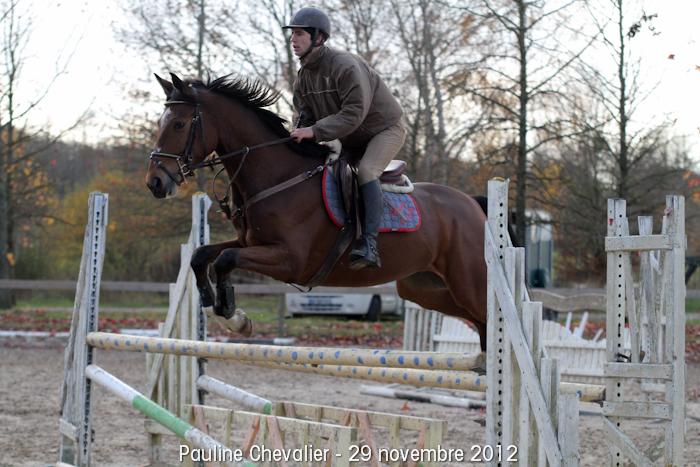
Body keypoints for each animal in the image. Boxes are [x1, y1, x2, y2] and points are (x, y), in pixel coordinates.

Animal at [146, 73, 489, 369]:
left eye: (179, 124)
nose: (155, 183)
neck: (280, 177)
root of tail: (472, 204)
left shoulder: (291, 260)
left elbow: (225, 260)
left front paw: (232, 315)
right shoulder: (251, 243)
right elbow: (202, 255)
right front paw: (215, 307)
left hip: (467, 282)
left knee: (488, 314)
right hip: (423, 288)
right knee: (479, 320)